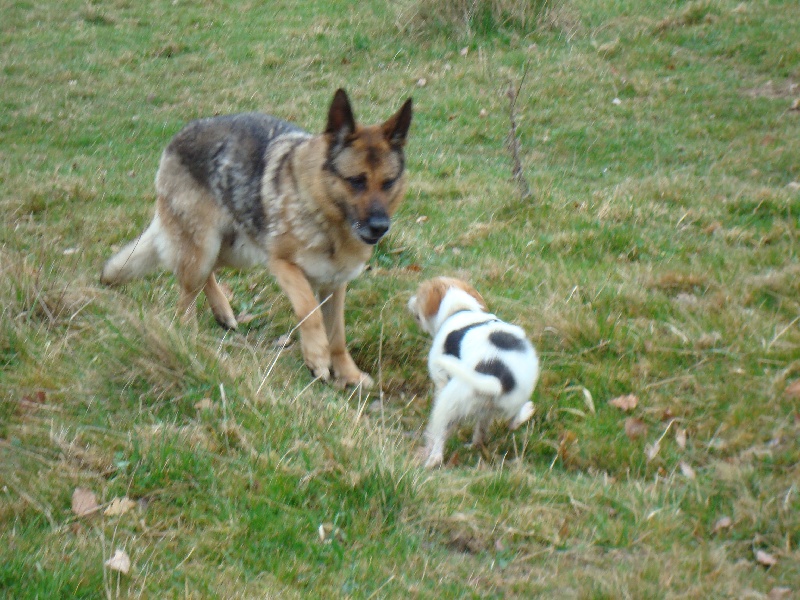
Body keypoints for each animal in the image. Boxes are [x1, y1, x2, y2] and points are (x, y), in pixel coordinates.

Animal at [101, 90, 412, 390]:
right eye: (356, 181)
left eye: (388, 183)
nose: (380, 227)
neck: (325, 215)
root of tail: (180, 135)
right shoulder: (283, 265)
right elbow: (309, 311)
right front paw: (317, 358)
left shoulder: (335, 285)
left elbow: (337, 335)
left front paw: (348, 373)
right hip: (204, 249)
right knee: (186, 300)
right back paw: (189, 339)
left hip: (236, 251)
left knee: (208, 276)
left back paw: (222, 312)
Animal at [410, 276, 540, 468]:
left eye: (419, 295)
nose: (409, 301)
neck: (461, 309)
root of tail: (498, 379)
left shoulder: (441, 382)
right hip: (507, 401)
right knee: (508, 423)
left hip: (449, 403)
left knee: (441, 435)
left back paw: (432, 459)